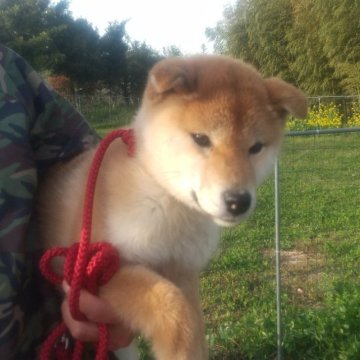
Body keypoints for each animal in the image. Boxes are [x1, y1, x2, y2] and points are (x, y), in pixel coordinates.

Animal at [38, 54, 306, 358]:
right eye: (201, 139)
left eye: (256, 147)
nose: (238, 201)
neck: (166, 203)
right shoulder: (93, 270)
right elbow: (173, 310)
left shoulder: (183, 270)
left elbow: (196, 328)